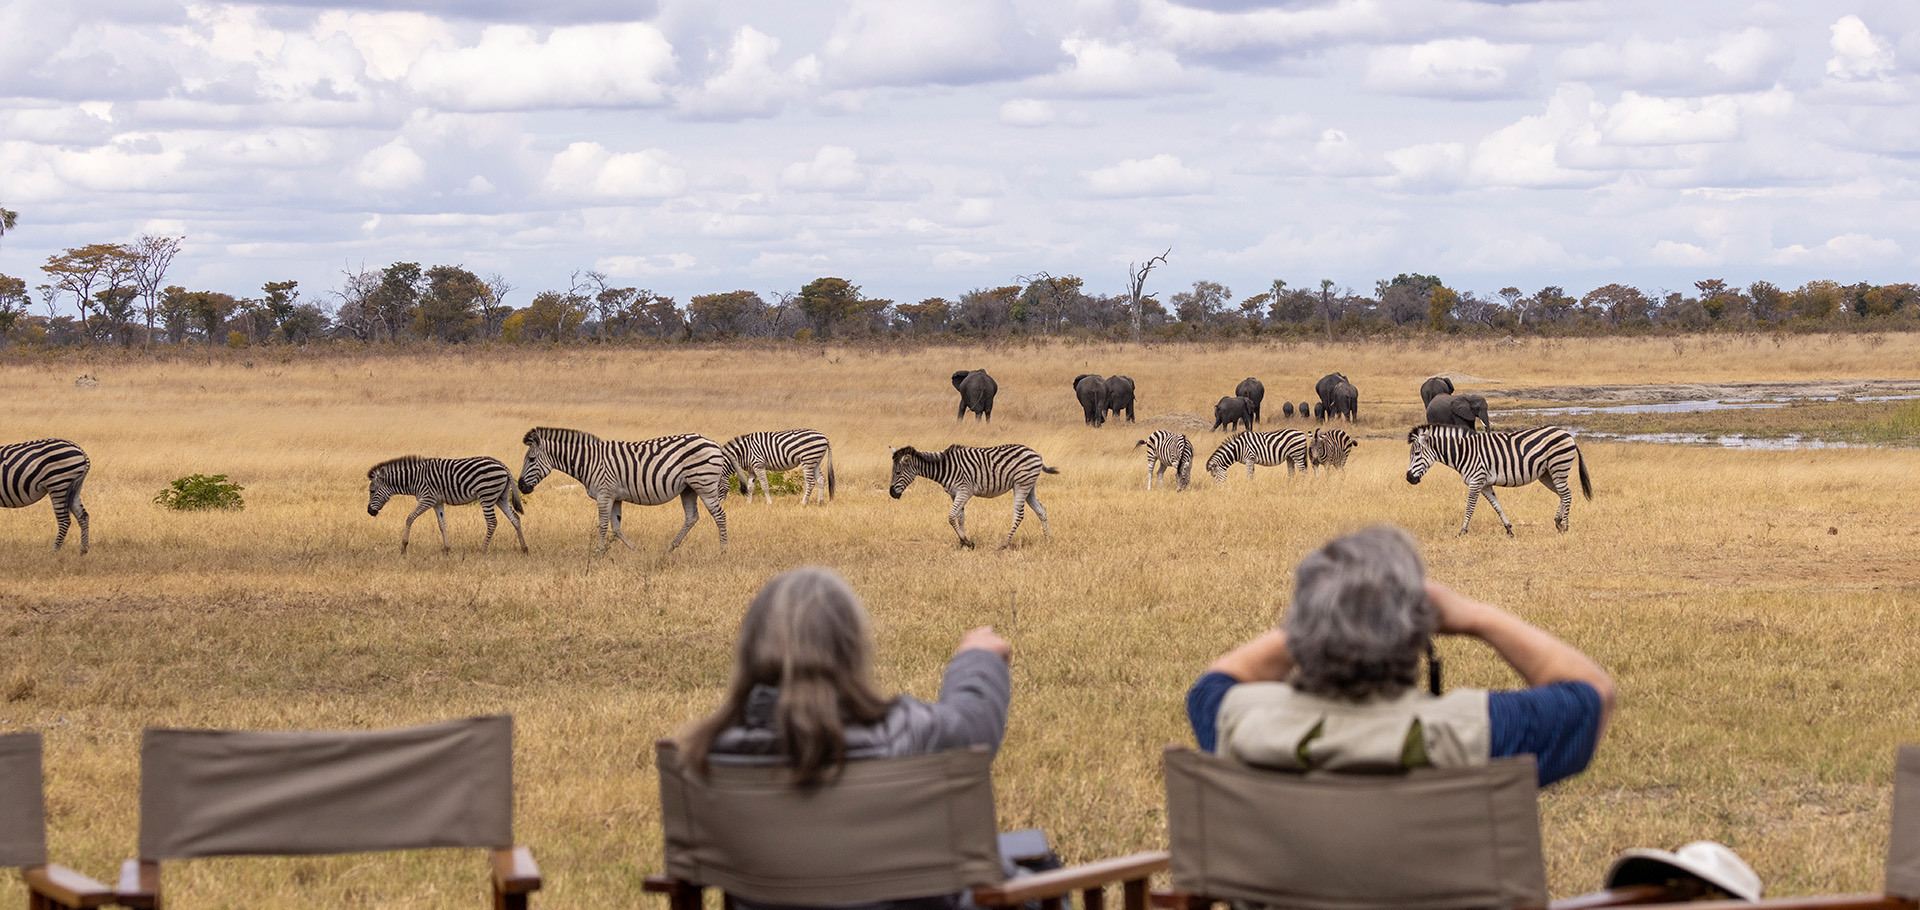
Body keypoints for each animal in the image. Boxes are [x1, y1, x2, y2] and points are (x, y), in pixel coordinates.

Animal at [367, 456, 527, 554]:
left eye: (372, 491)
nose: (369, 512)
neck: (414, 479)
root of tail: (502, 465)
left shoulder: (427, 499)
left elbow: (410, 518)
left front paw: (403, 547)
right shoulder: (437, 502)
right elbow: (442, 524)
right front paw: (447, 549)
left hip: (487, 495)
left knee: (492, 522)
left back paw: (482, 551)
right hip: (501, 497)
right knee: (515, 518)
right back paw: (524, 549)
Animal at [518, 427, 730, 553]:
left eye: (531, 459)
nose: (520, 486)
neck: (588, 462)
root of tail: (713, 442)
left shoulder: (604, 494)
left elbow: (603, 525)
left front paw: (598, 552)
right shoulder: (615, 497)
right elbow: (617, 527)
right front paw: (635, 549)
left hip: (704, 484)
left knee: (719, 516)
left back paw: (723, 550)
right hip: (689, 488)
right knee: (692, 517)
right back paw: (670, 548)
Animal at [889, 444, 1058, 549]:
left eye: (897, 472)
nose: (892, 493)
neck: (945, 468)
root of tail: (1036, 454)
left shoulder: (964, 491)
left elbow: (951, 517)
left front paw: (967, 542)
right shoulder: (954, 494)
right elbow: (960, 517)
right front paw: (962, 543)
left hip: (1021, 485)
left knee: (1019, 514)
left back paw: (1005, 543)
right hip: (1029, 487)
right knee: (1041, 510)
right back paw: (1047, 539)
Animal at [1405, 424, 1592, 536]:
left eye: (1416, 454)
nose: (1408, 478)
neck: (1464, 452)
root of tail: (1568, 434)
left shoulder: (1476, 481)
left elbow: (1469, 508)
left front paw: (1462, 531)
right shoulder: (1485, 484)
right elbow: (1497, 506)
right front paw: (1509, 529)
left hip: (1558, 466)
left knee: (1566, 494)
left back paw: (1565, 526)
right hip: (1547, 474)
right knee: (1564, 494)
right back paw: (1558, 522)